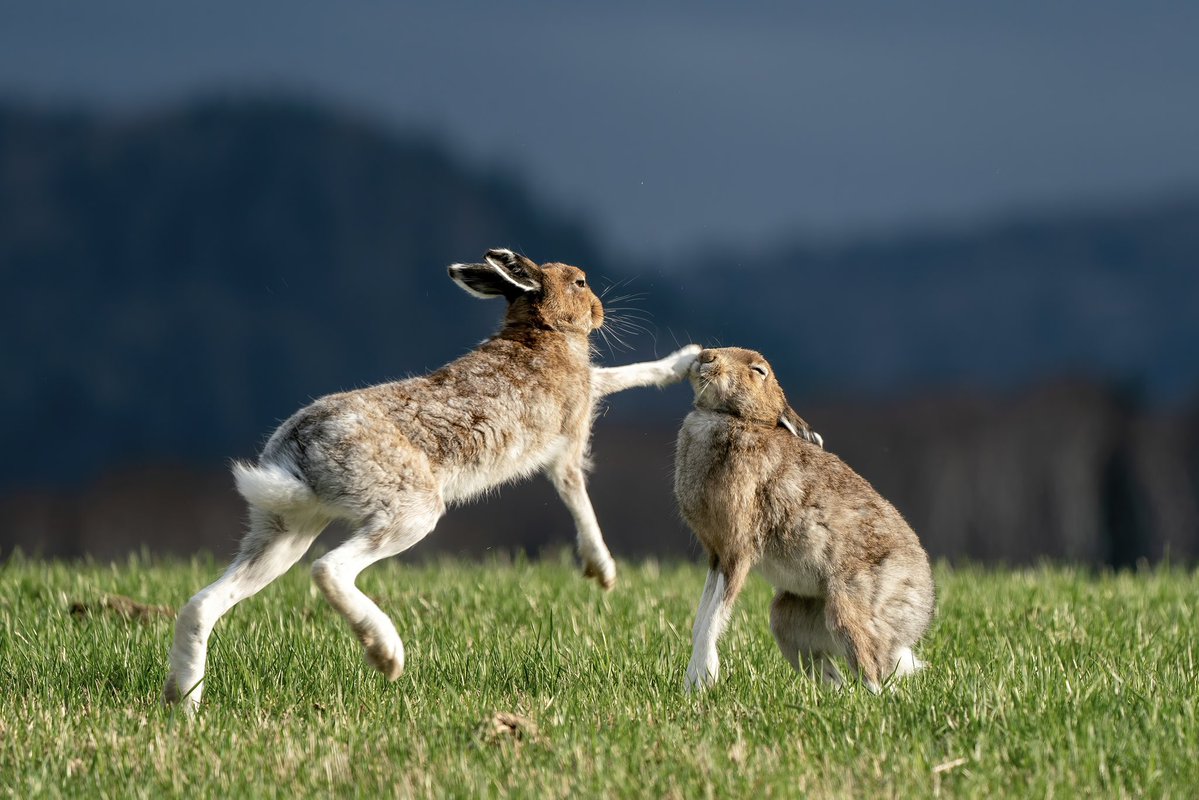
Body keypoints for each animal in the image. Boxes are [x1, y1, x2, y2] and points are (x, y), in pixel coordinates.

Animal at [163, 248, 700, 712]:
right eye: (580, 282)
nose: (599, 311)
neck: (539, 329)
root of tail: (301, 452)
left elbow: (614, 383)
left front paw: (685, 360)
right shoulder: (568, 440)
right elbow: (580, 487)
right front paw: (602, 570)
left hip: (284, 531)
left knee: (202, 605)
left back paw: (185, 702)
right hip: (410, 510)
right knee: (329, 569)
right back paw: (386, 653)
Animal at [674, 347, 935, 693]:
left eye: (759, 370)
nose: (705, 356)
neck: (735, 418)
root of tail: (920, 607)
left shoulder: (737, 550)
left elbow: (715, 616)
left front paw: (704, 678)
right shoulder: (716, 555)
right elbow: (701, 616)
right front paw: (694, 682)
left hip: (851, 609)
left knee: (871, 671)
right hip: (789, 618)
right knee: (832, 673)